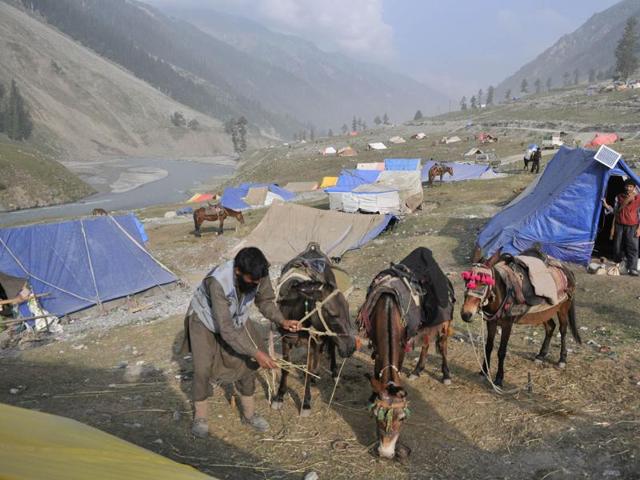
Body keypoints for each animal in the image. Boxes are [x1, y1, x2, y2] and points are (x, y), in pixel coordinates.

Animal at [272, 244, 358, 416]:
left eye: (347, 309)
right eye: (332, 313)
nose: (351, 347)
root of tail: (314, 248)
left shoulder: (311, 342)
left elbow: (308, 369)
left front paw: (306, 403)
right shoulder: (286, 340)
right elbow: (285, 368)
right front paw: (279, 396)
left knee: (330, 346)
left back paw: (334, 373)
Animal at [460, 249, 580, 388]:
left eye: (484, 282)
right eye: (466, 280)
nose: (466, 314)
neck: (503, 292)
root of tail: (567, 269)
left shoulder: (507, 324)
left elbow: (501, 351)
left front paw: (499, 379)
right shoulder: (492, 322)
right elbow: (488, 347)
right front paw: (484, 372)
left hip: (563, 308)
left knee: (563, 329)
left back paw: (562, 359)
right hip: (544, 312)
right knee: (551, 327)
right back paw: (540, 356)